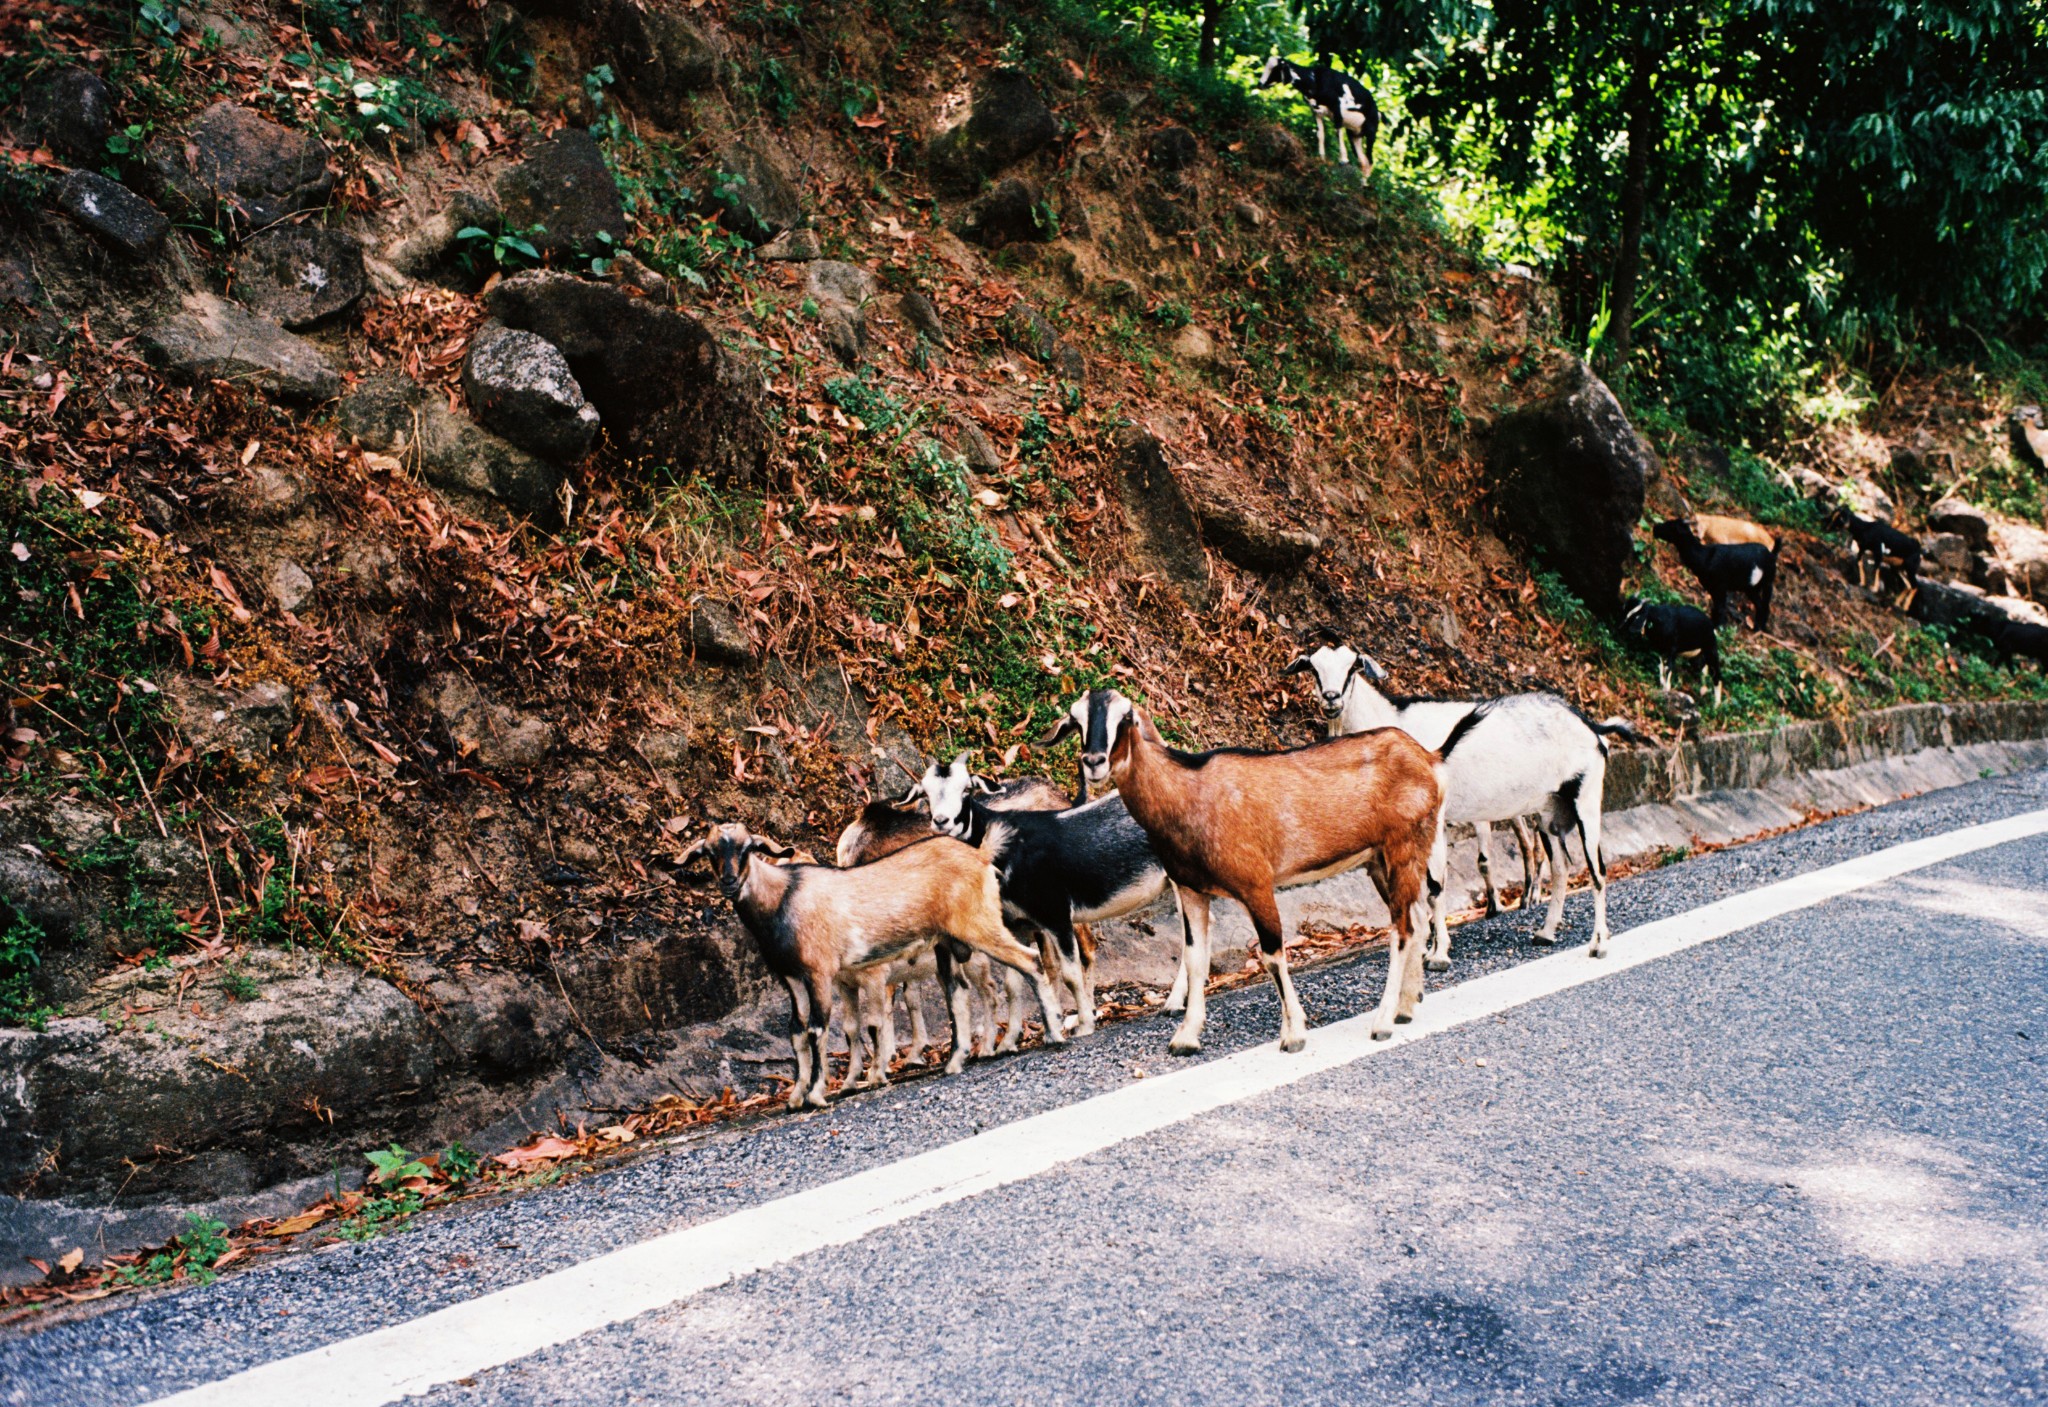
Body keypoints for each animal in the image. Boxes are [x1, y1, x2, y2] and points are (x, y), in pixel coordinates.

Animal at [913, 753, 1171, 1040]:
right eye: (925, 792)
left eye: (967, 789)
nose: (941, 821)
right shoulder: (1019, 924)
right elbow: (1019, 978)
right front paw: (1035, 1033)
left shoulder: (1055, 912)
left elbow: (1069, 974)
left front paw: (1083, 1026)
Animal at [1056, 688, 1441, 1064]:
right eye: (1076, 719)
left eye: (1125, 717)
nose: (1093, 762)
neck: (1187, 795)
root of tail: (1427, 758)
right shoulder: (1191, 889)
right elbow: (1195, 959)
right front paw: (1186, 1038)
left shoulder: (1255, 884)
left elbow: (1271, 954)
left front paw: (1294, 1035)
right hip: (1380, 860)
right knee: (1417, 917)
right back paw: (1406, 1007)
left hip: (1404, 845)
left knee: (1403, 929)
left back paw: (1383, 1021)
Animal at [1253, 56, 1384, 176]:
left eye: (1275, 70)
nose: (1260, 84)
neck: (1314, 79)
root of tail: (1378, 111)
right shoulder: (1316, 111)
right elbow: (1320, 134)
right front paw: (1321, 158)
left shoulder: (1337, 108)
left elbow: (1338, 132)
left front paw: (1343, 160)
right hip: (1354, 133)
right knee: (1363, 161)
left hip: (1371, 131)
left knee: (1370, 160)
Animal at [1286, 643, 1638, 962]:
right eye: (1314, 668)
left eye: (1352, 668)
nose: (1332, 698)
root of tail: (1589, 724)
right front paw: (1426, 948)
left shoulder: (1433, 819)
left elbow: (1435, 884)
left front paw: (1438, 954)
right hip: (1549, 811)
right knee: (1561, 867)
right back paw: (1546, 932)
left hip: (1585, 798)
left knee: (1597, 870)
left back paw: (1598, 944)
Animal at [1646, 518, 1777, 626]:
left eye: (1670, 525)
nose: (1655, 528)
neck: (1704, 557)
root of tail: (1772, 555)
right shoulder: (1711, 587)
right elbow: (1716, 608)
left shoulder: (1720, 587)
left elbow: (1720, 608)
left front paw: (1718, 627)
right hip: (1752, 588)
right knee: (1761, 605)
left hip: (1766, 583)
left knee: (1765, 606)